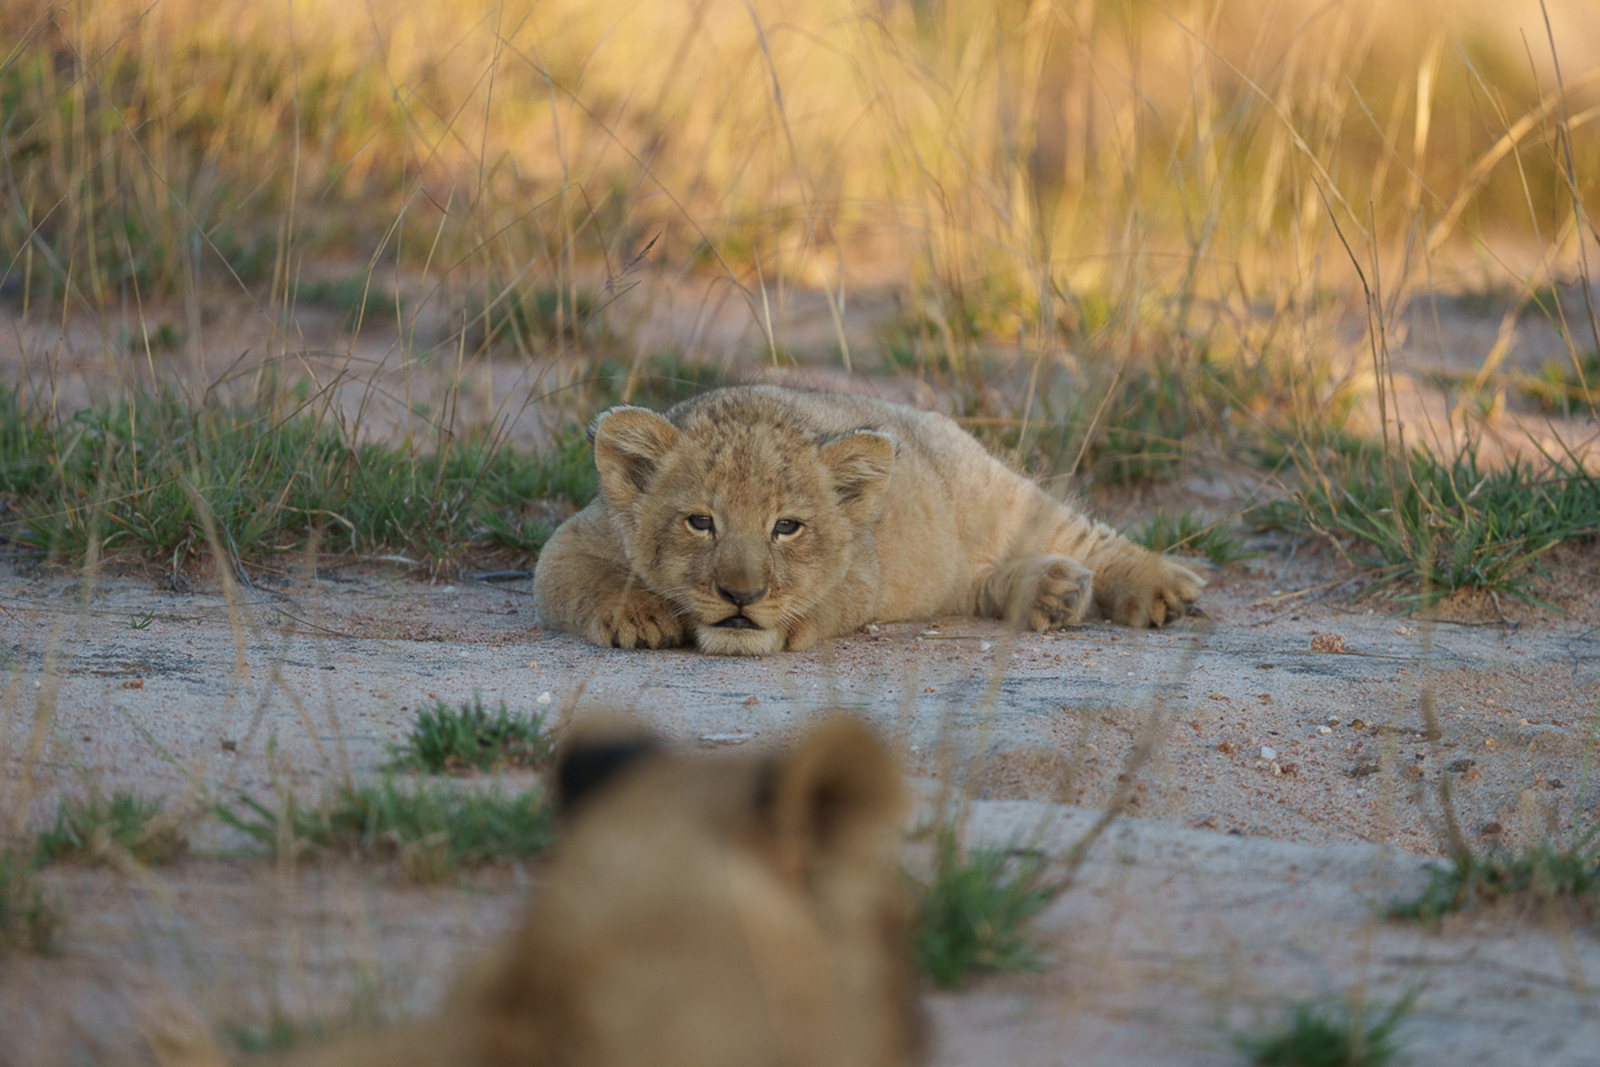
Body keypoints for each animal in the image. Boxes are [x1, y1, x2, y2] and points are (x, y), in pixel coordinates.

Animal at [534, 385, 1203, 655]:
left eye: (787, 528)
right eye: (701, 522)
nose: (741, 596)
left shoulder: (862, 565)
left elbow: (830, 598)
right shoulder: (575, 536)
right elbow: (575, 578)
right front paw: (639, 617)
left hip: (997, 492)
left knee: (1084, 535)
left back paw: (1162, 590)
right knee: (981, 581)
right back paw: (1053, 593)